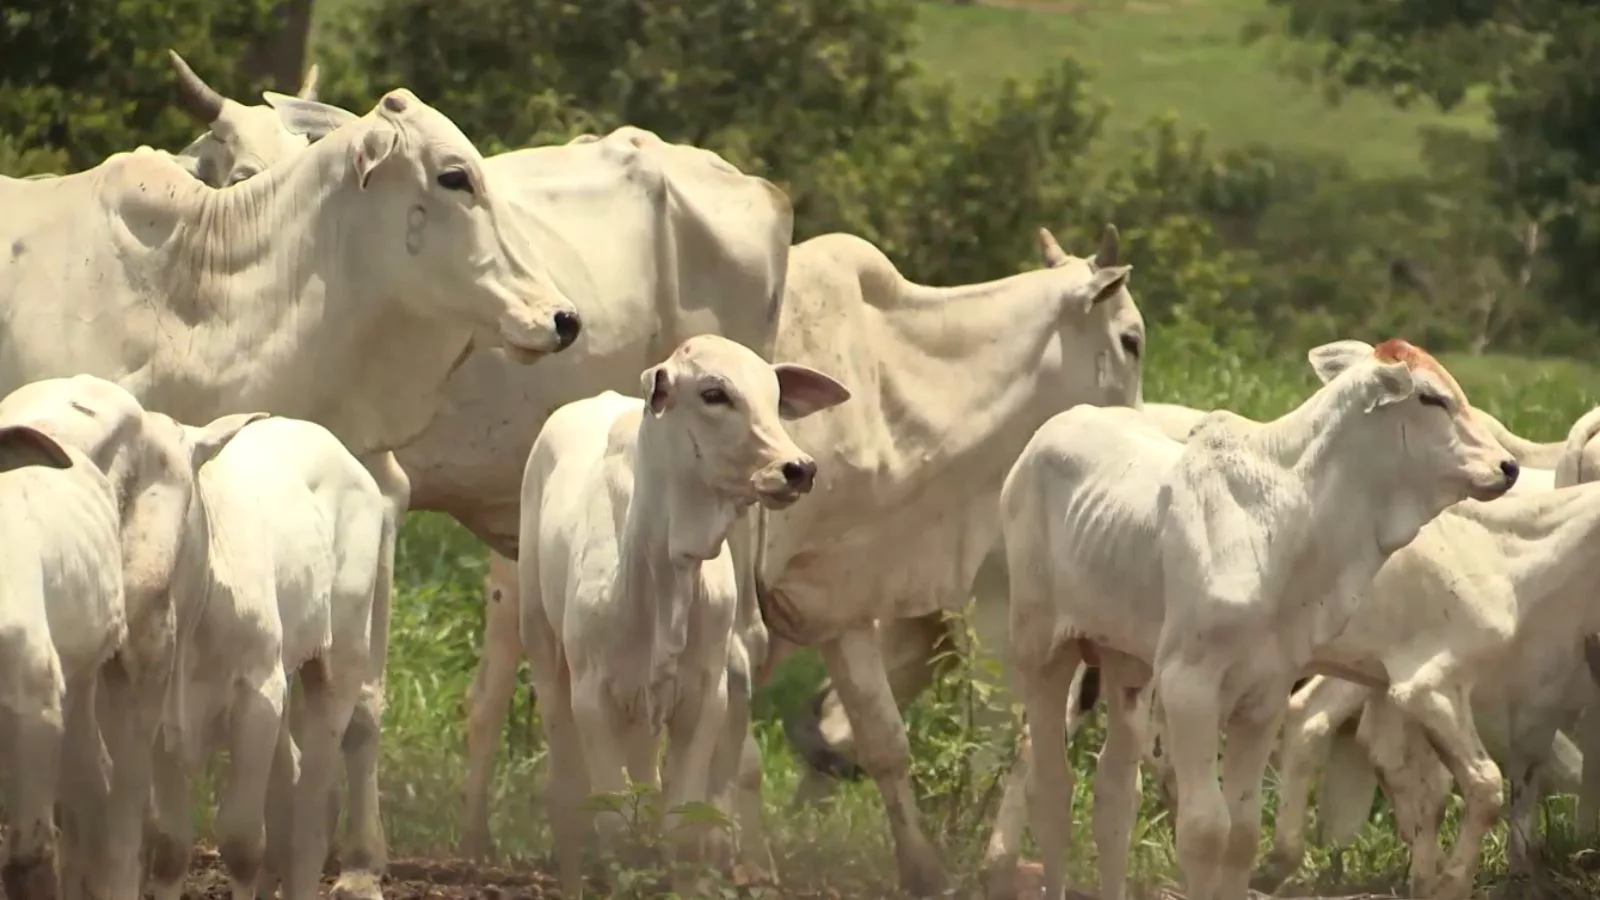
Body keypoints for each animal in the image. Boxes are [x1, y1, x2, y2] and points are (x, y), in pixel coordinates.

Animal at [0, 373, 262, 896]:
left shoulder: (31, 699)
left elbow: (28, 861)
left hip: (145, 651)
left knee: (121, 822)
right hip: (84, 671)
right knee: (92, 792)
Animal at [141, 416, 393, 896]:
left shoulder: (256, 693)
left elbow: (241, 842)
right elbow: (169, 848)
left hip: (339, 659)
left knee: (310, 818)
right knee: (290, 791)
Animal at [1004, 336, 1516, 896]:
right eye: (1430, 398)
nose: (1508, 467)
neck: (1288, 523)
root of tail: (1047, 434)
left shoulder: (1266, 693)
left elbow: (1244, 831)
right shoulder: (1189, 686)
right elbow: (1206, 829)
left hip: (1126, 666)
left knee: (1115, 792)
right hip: (1040, 652)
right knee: (1051, 786)